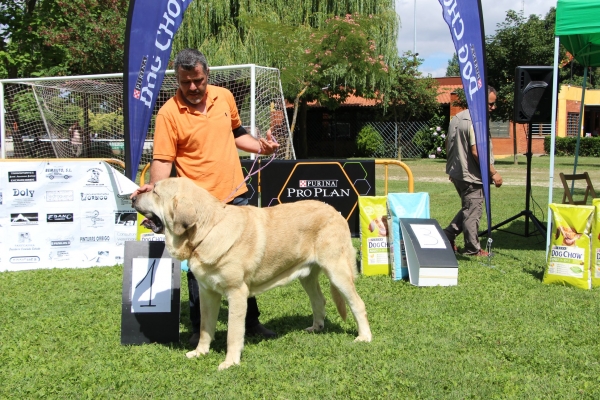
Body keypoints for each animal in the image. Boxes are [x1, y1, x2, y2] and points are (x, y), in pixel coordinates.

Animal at [132, 177, 370, 370]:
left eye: (155, 192)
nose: (133, 196)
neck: (207, 230)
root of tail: (336, 212)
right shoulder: (207, 293)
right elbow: (205, 328)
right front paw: (200, 352)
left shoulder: (236, 293)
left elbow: (233, 333)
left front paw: (230, 362)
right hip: (307, 276)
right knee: (319, 300)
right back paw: (316, 328)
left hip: (337, 271)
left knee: (358, 304)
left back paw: (364, 337)